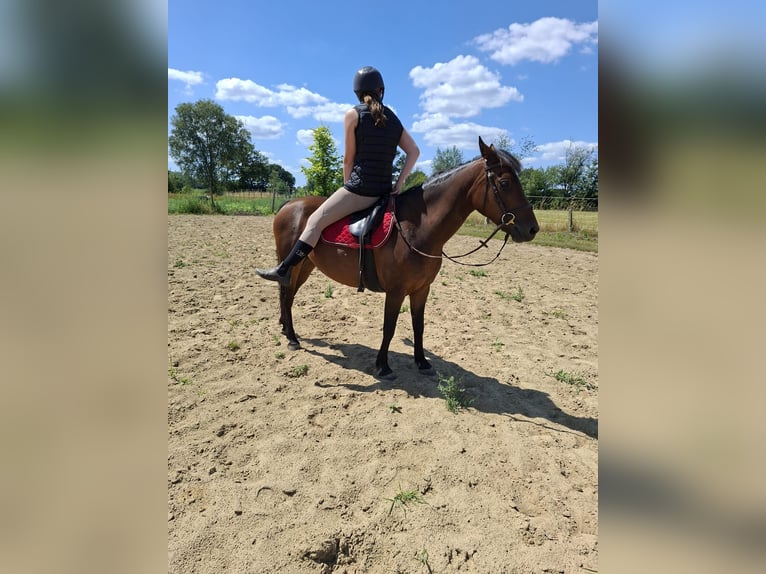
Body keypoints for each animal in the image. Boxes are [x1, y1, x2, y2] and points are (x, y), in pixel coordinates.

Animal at [264, 137, 539, 379]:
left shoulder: (422, 289)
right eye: (505, 183)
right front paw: (383, 366)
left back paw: (286, 329)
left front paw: (422, 362)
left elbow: (419, 325)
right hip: (293, 263)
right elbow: (389, 327)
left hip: (306, 265)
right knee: (286, 294)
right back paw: (292, 338)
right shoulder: (395, 291)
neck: (416, 228)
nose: (532, 229)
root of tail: (289, 204)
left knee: (287, 294)